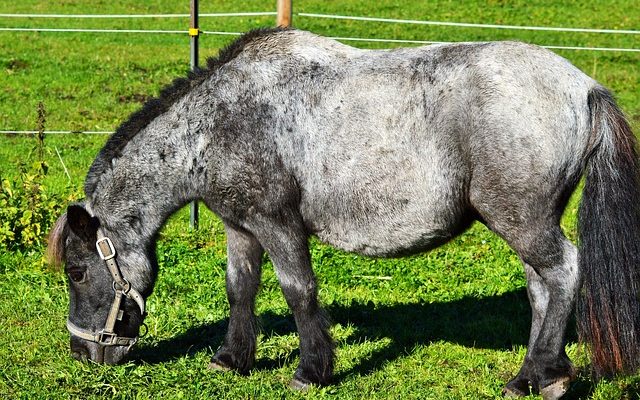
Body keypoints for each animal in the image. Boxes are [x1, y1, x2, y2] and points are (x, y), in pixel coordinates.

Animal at [46, 26, 640, 398]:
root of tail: (585, 87)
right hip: (525, 224)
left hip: (522, 221)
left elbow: (298, 290)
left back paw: (537, 375)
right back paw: (539, 376)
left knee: (564, 273)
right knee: (542, 288)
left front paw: (311, 370)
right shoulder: (240, 227)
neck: (217, 122)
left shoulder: (278, 225)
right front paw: (232, 358)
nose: (81, 352)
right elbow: (240, 288)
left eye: (76, 270)